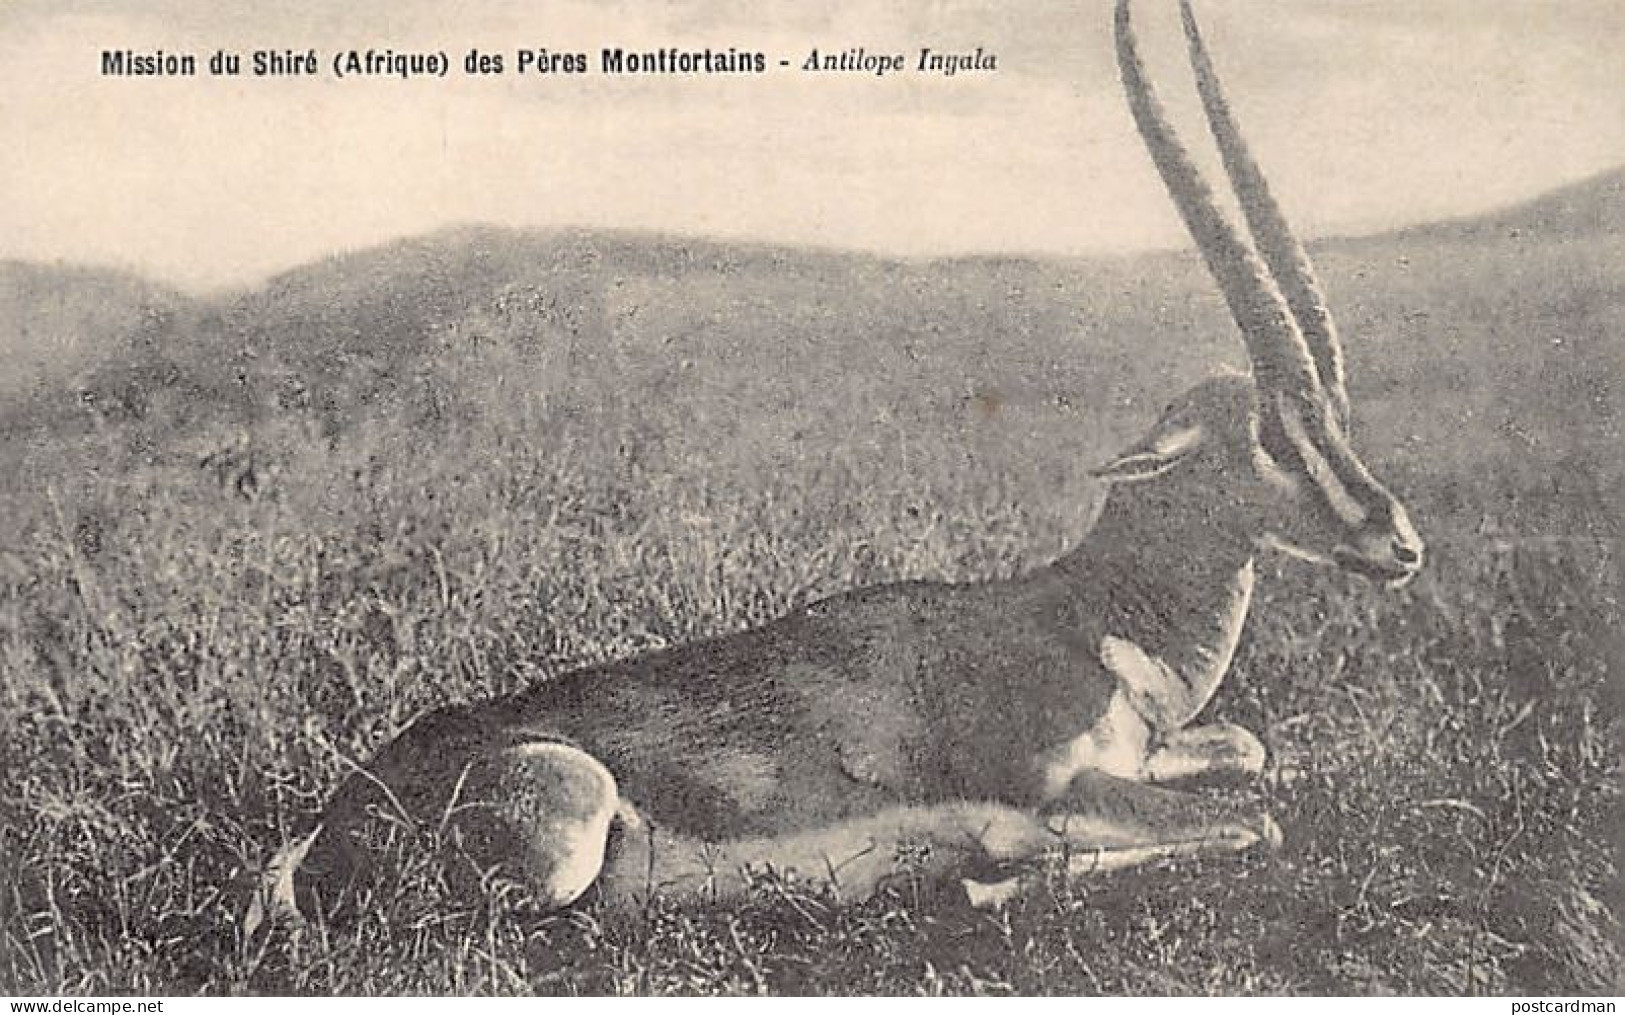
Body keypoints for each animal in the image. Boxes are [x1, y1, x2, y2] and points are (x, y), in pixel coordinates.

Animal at [252, 0, 1424, 926]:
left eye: (1332, 414)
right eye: (1270, 433)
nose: (1396, 541)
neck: (1082, 616)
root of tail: (319, 834)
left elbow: (1251, 756)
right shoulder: (1061, 791)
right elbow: (1251, 822)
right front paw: (978, 874)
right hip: (564, 844)